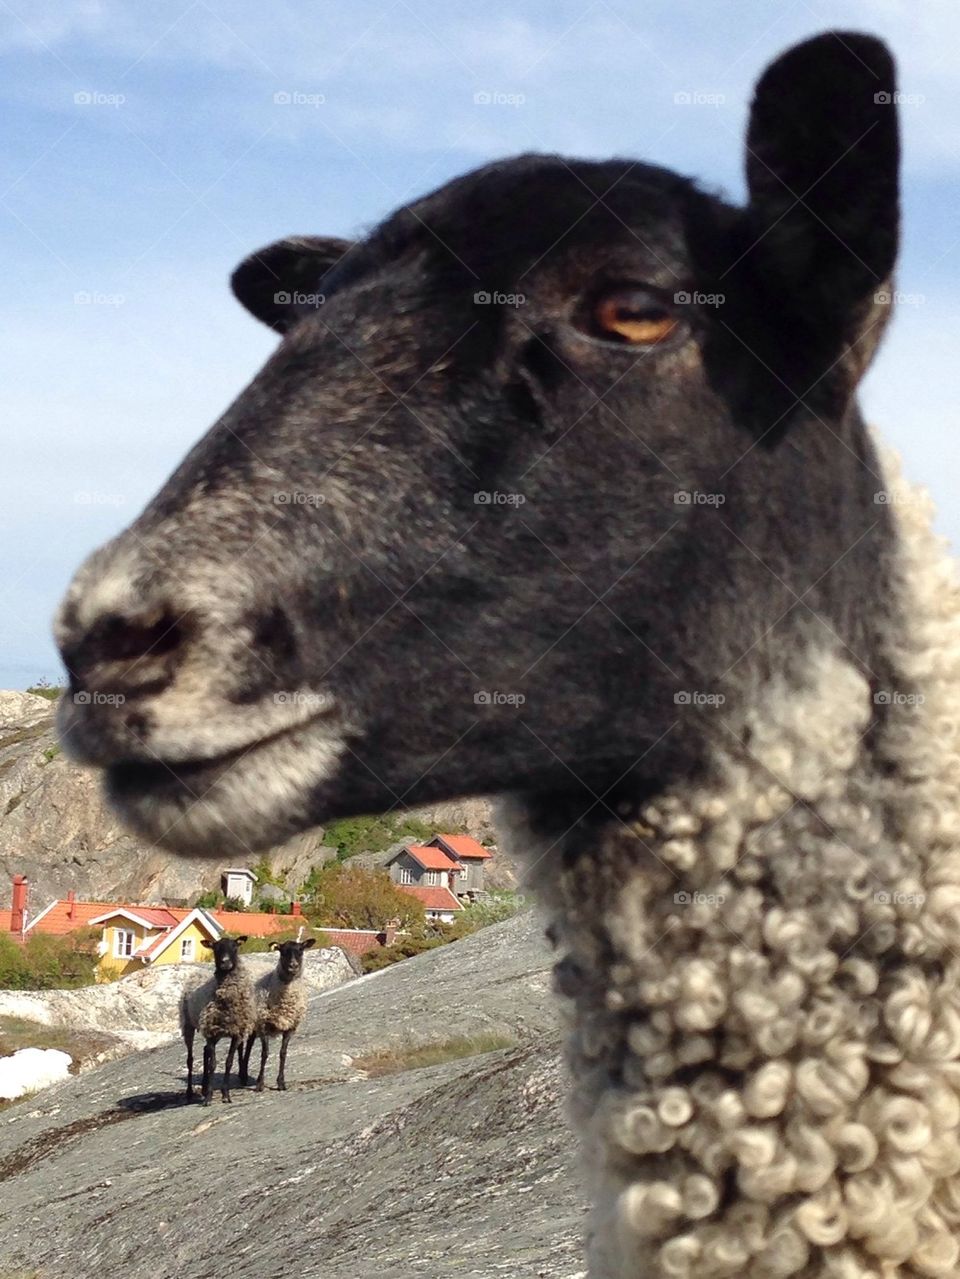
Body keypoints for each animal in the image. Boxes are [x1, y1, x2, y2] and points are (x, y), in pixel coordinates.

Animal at [179, 935, 254, 1105]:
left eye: (235, 946)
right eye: (215, 948)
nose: (225, 962)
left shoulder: (236, 1033)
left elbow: (229, 1062)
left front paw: (226, 1095)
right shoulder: (211, 1032)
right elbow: (213, 1064)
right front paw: (208, 1098)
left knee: (205, 1050)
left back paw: (205, 1086)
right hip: (188, 1024)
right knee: (190, 1059)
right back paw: (190, 1092)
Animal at [239, 938, 316, 1092]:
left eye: (301, 950)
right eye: (283, 951)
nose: (293, 966)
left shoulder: (290, 1027)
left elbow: (283, 1053)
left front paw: (281, 1083)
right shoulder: (264, 1025)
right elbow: (265, 1054)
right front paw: (260, 1084)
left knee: (249, 1043)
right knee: (244, 1045)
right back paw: (242, 1074)